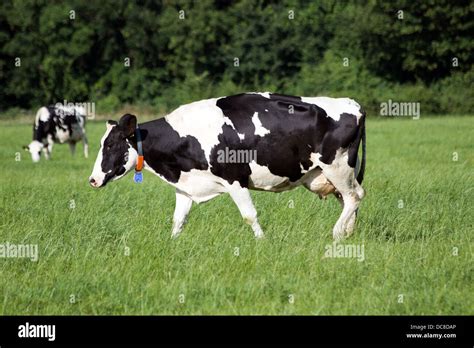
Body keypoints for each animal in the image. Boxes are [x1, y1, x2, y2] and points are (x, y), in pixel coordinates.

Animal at [89, 91, 366, 241]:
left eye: (111, 145)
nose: (92, 180)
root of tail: (351, 103)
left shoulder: (235, 180)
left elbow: (249, 215)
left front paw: (262, 242)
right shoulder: (186, 185)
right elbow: (178, 219)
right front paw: (172, 244)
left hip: (338, 167)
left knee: (355, 197)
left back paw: (337, 233)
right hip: (330, 174)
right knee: (348, 200)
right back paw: (349, 233)